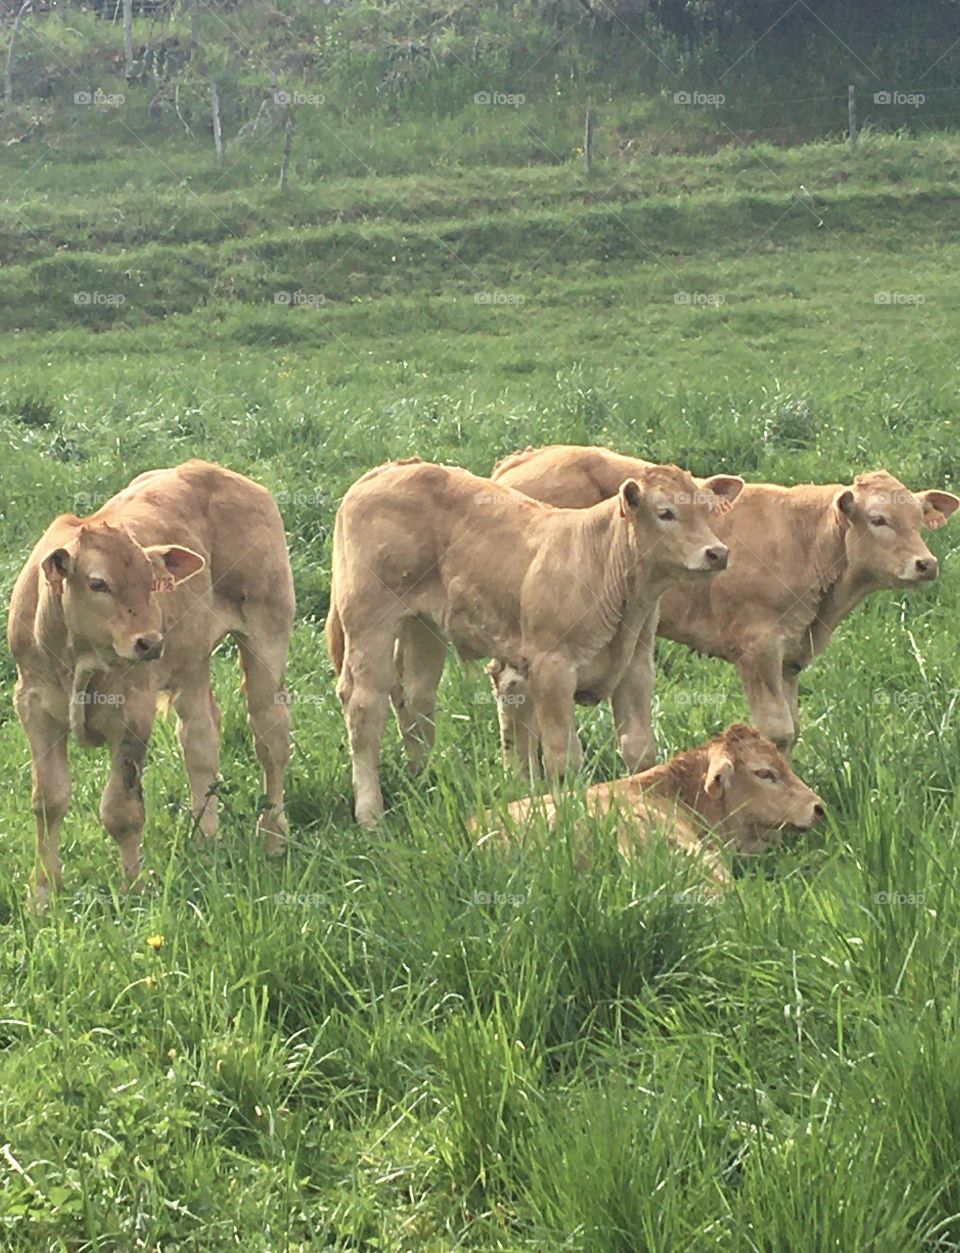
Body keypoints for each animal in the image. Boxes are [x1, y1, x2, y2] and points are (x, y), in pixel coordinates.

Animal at [8, 460, 295, 907]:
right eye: (98, 583)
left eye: (150, 582)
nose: (149, 641)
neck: (78, 658)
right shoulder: (34, 708)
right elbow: (48, 802)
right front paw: (43, 895)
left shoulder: (132, 712)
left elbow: (122, 810)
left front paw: (133, 889)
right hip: (192, 660)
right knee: (200, 740)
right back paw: (205, 839)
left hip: (267, 635)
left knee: (270, 738)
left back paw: (274, 835)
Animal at [326, 457, 740, 827]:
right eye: (665, 512)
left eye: (707, 511)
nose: (717, 552)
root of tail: (389, 469)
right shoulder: (552, 668)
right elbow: (564, 754)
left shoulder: (636, 666)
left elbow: (639, 749)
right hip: (369, 620)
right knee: (364, 706)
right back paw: (370, 815)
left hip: (422, 625)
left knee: (415, 695)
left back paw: (423, 777)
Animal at [491, 444, 959, 754]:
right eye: (879, 519)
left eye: (918, 520)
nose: (926, 563)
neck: (807, 540)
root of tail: (522, 459)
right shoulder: (758, 648)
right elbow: (777, 730)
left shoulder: (789, 657)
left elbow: (793, 728)